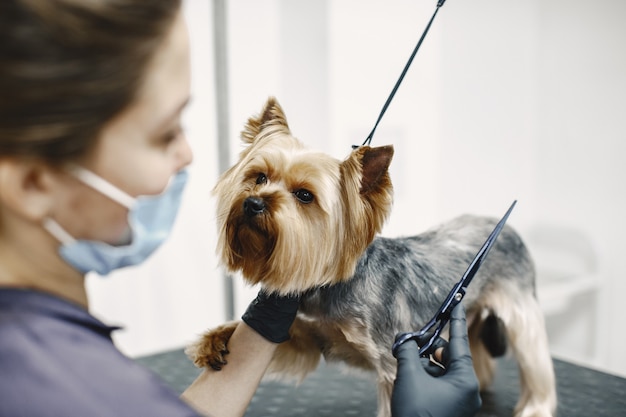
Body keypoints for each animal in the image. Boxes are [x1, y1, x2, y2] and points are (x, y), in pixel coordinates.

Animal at [186, 96, 556, 416]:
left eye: (304, 195)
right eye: (259, 177)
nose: (252, 203)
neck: (331, 284)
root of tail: (502, 226)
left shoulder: (393, 365)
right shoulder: (304, 337)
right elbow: (258, 335)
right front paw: (214, 339)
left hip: (520, 310)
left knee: (536, 362)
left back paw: (535, 408)